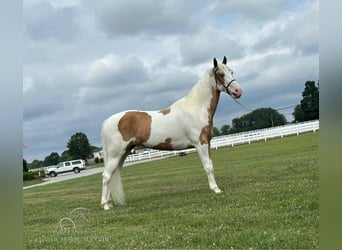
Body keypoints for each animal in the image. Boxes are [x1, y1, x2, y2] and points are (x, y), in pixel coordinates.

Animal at [100, 56, 242, 209]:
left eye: (231, 72)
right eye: (221, 74)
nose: (238, 91)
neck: (196, 108)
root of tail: (107, 121)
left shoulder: (207, 144)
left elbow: (210, 164)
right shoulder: (201, 144)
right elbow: (208, 167)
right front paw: (216, 189)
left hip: (123, 153)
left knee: (112, 174)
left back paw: (109, 202)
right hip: (116, 154)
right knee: (106, 175)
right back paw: (105, 205)